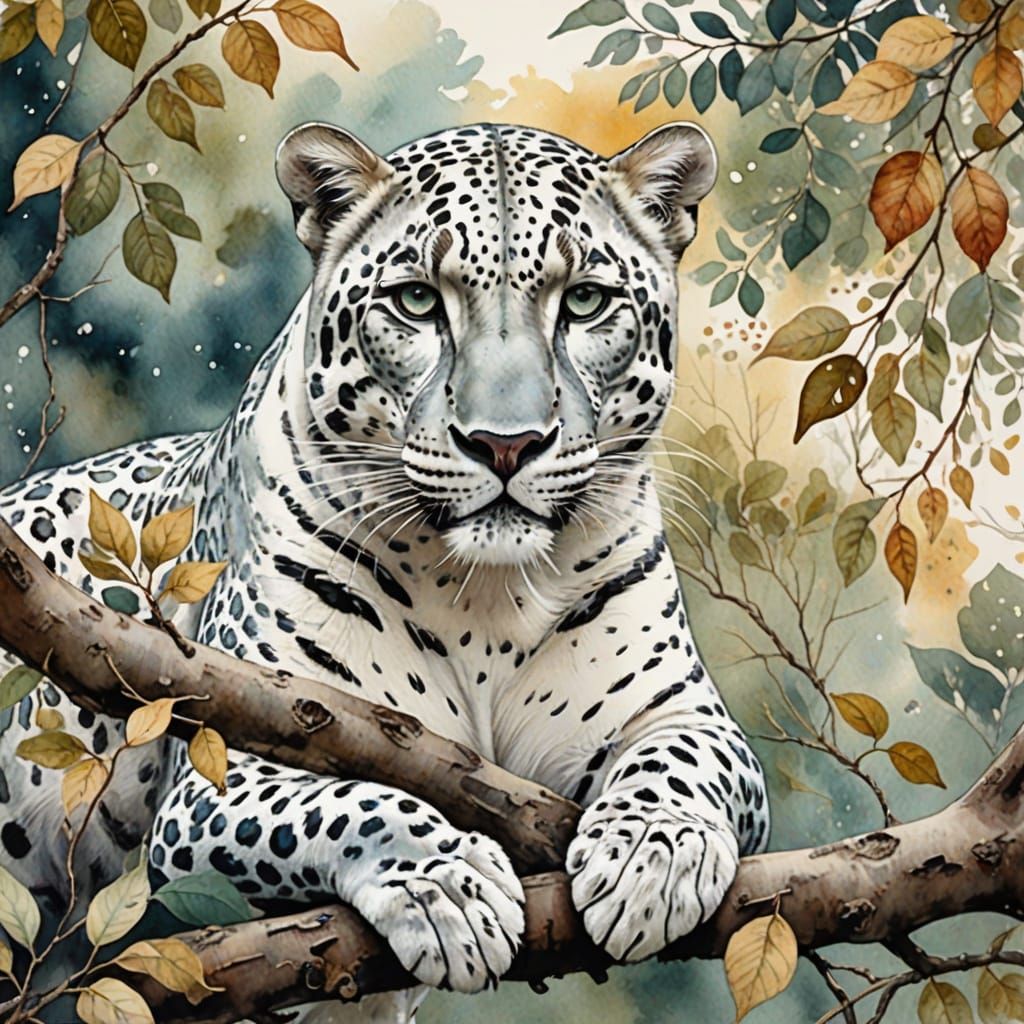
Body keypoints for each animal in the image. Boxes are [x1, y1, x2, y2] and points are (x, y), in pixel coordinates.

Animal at [0, 120, 770, 1022]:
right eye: (417, 302)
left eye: (583, 302)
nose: (505, 444)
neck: (485, 596)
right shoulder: (224, 777)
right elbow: (347, 803)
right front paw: (447, 883)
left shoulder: (679, 711)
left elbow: (682, 764)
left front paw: (653, 854)